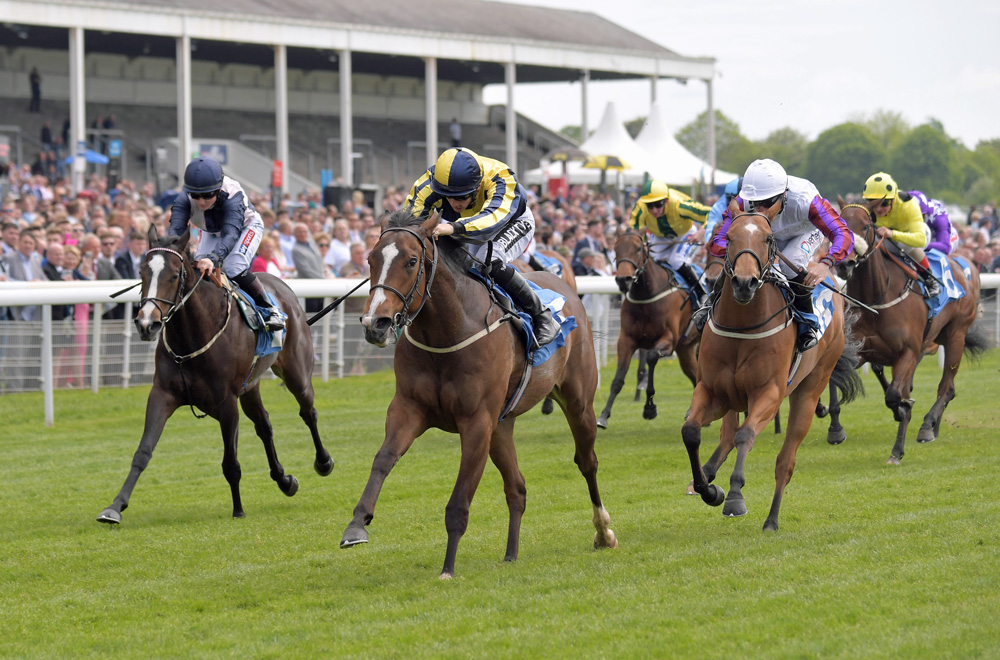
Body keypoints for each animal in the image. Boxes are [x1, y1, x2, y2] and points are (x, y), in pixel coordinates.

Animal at [95, 227, 334, 524]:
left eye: (174, 275)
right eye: (142, 272)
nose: (146, 324)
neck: (193, 336)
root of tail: (285, 289)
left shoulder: (227, 402)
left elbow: (230, 463)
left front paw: (238, 510)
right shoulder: (162, 394)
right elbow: (143, 452)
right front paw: (115, 507)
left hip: (296, 373)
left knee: (308, 412)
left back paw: (323, 462)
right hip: (250, 386)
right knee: (264, 426)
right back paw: (284, 480)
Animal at [340, 210, 612, 576]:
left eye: (411, 261)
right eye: (370, 259)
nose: (375, 324)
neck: (448, 331)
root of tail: (566, 285)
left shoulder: (476, 422)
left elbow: (459, 501)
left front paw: (447, 568)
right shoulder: (408, 409)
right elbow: (383, 459)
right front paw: (357, 525)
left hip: (578, 403)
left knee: (587, 462)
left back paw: (604, 532)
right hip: (502, 426)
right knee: (517, 488)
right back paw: (511, 554)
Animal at [596, 231, 700, 428]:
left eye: (638, 248)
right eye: (616, 249)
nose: (623, 280)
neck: (647, 296)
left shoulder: (669, 340)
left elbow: (651, 358)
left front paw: (649, 408)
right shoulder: (626, 340)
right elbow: (618, 380)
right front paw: (604, 415)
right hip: (686, 349)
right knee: (696, 376)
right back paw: (693, 411)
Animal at [684, 214, 864, 532]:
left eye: (767, 238)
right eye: (728, 237)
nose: (744, 283)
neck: (743, 326)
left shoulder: (769, 393)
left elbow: (746, 435)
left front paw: (734, 497)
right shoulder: (712, 391)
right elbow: (692, 431)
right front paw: (708, 489)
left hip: (809, 390)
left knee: (785, 462)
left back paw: (771, 519)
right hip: (733, 398)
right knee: (727, 435)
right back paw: (707, 474)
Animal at [820, 201, 984, 464]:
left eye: (865, 226)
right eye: (840, 225)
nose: (845, 264)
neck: (877, 297)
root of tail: (965, 265)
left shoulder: (907, 351)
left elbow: (895, 395)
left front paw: (898, 443)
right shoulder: (860, 350)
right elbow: (836, 376)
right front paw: (835, 428)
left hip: (956, 335)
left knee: (947, 387)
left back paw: (928, 426)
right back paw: (933, 425)